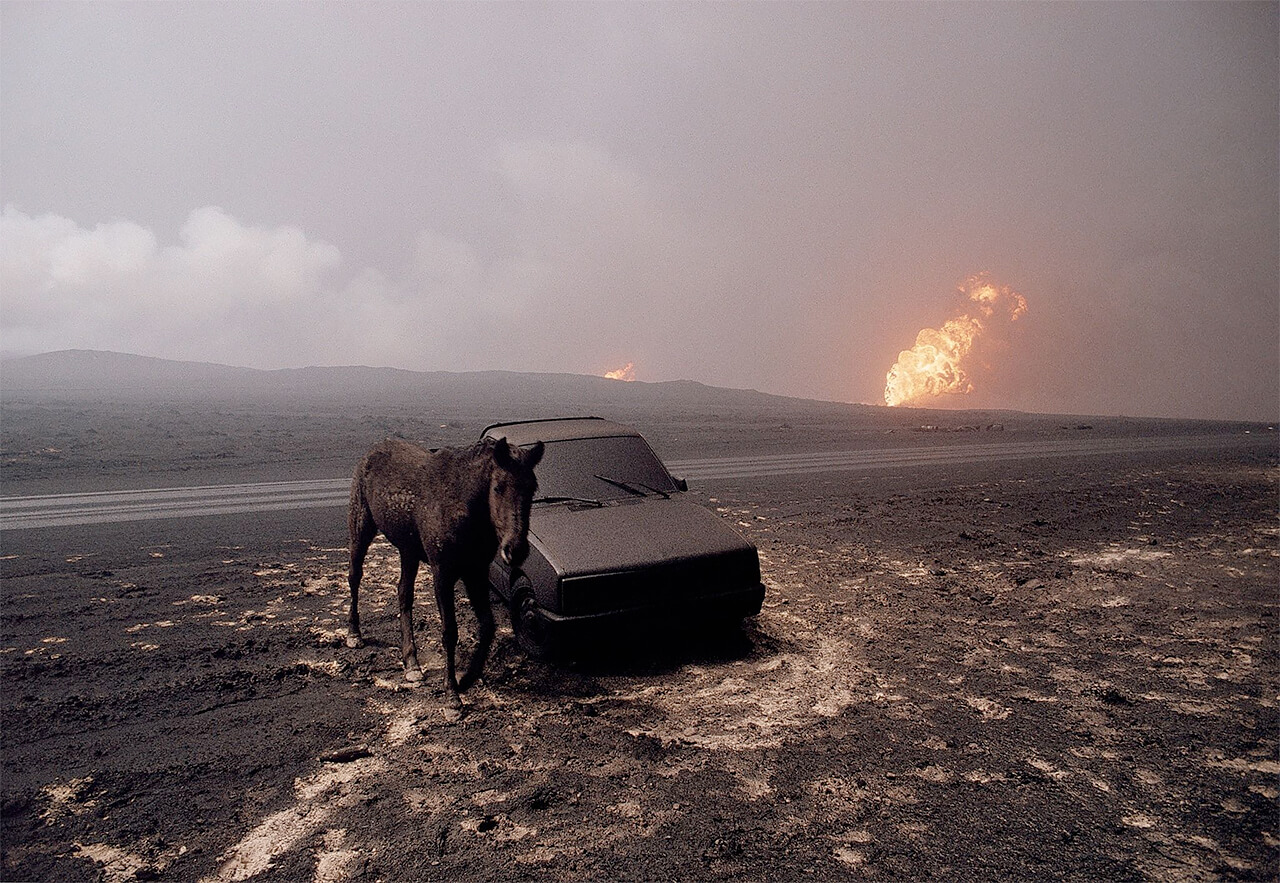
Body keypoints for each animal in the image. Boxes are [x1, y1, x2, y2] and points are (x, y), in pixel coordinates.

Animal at [345, 435, 540, 706]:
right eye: (498, 487)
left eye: (532, 488)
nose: (516, 550)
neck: (465, 507)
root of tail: (372, 451)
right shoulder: (443, 573)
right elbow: (449, 631)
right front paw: (451, 695)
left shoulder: (475, 571)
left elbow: (487, 626)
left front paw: (466, 679)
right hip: (361, 527)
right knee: (355, 577)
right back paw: (354, 633)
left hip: (408, 550)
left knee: (403, 593)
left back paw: (412, 663)